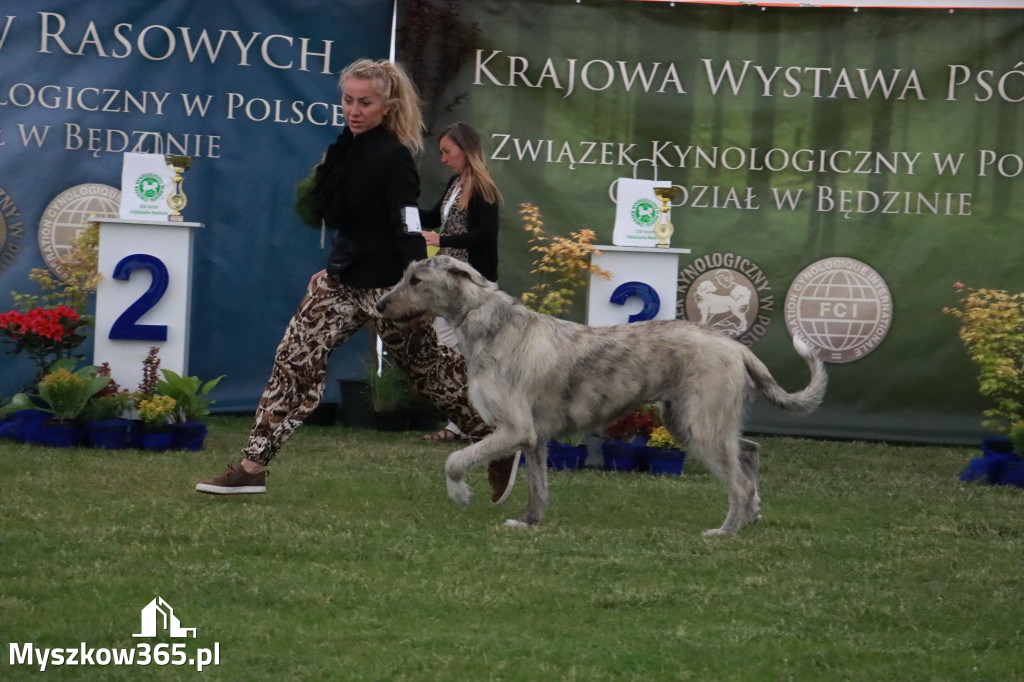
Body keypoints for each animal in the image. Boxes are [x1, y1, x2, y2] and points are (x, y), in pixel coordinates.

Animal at [372, 251, 827, 532]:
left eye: (416, 279)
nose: (379, 306)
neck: (487, 322)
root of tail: (735, 346)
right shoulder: (534, 438)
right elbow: (538, 486)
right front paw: (529, 523)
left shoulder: (514, 429)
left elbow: (455, 459)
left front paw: (461, 493)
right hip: (693, 420)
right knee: (749, 450)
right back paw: (752, 513)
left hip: (700, 424)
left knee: (740, 481)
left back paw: (726, 530)